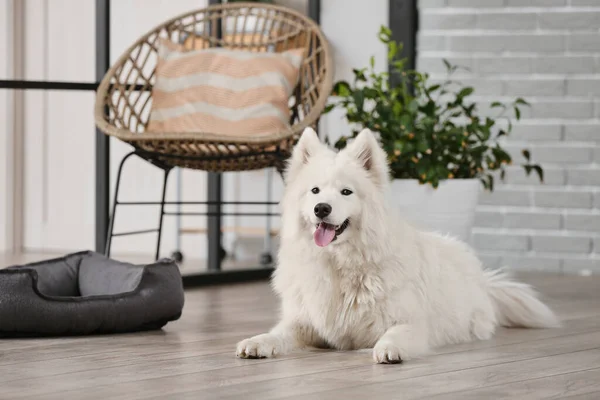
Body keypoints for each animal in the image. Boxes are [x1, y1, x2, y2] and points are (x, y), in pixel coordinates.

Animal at [236, 127, 556, 362]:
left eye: (346, 192)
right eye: (314, 191)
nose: (321, 208)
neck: (341, 265)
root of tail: (484, 280)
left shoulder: (409, 322)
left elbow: (395, 333)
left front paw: (388, 349)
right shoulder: (303, 321)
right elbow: (278, 333)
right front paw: (257, 342)